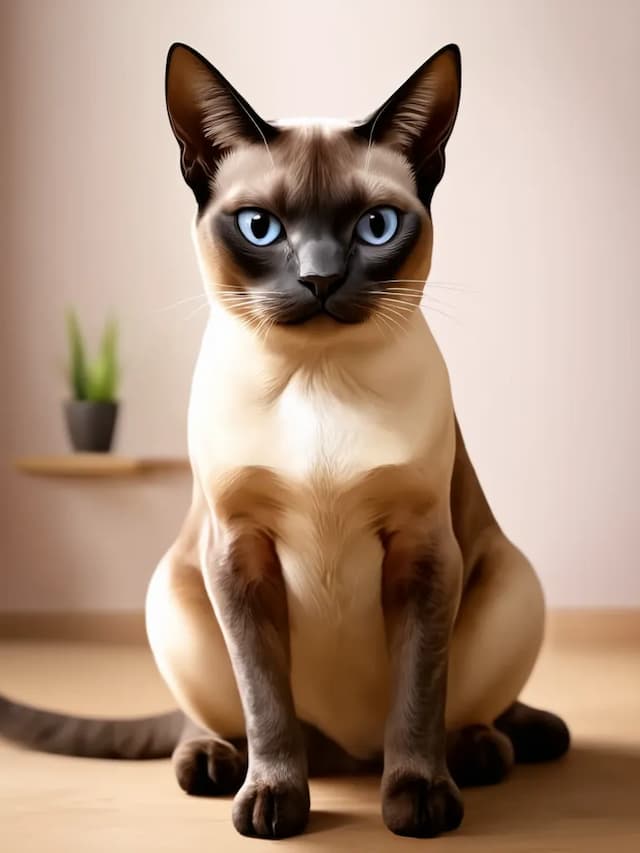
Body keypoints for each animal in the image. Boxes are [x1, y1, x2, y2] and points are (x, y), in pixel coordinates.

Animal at [1, 41, 568, 840]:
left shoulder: (424, 551)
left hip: (512, 585)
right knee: (212, 719)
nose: (320, 277)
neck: (316, 378)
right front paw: (275, 804)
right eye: (260, 228)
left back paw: (495, 745)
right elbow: (264, 701)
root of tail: (349, 753)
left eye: (376, 227)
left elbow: (419, 694)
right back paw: (214, 765)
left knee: (464, 706)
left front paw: (418, 801)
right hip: (174, 597)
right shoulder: (239, 553)